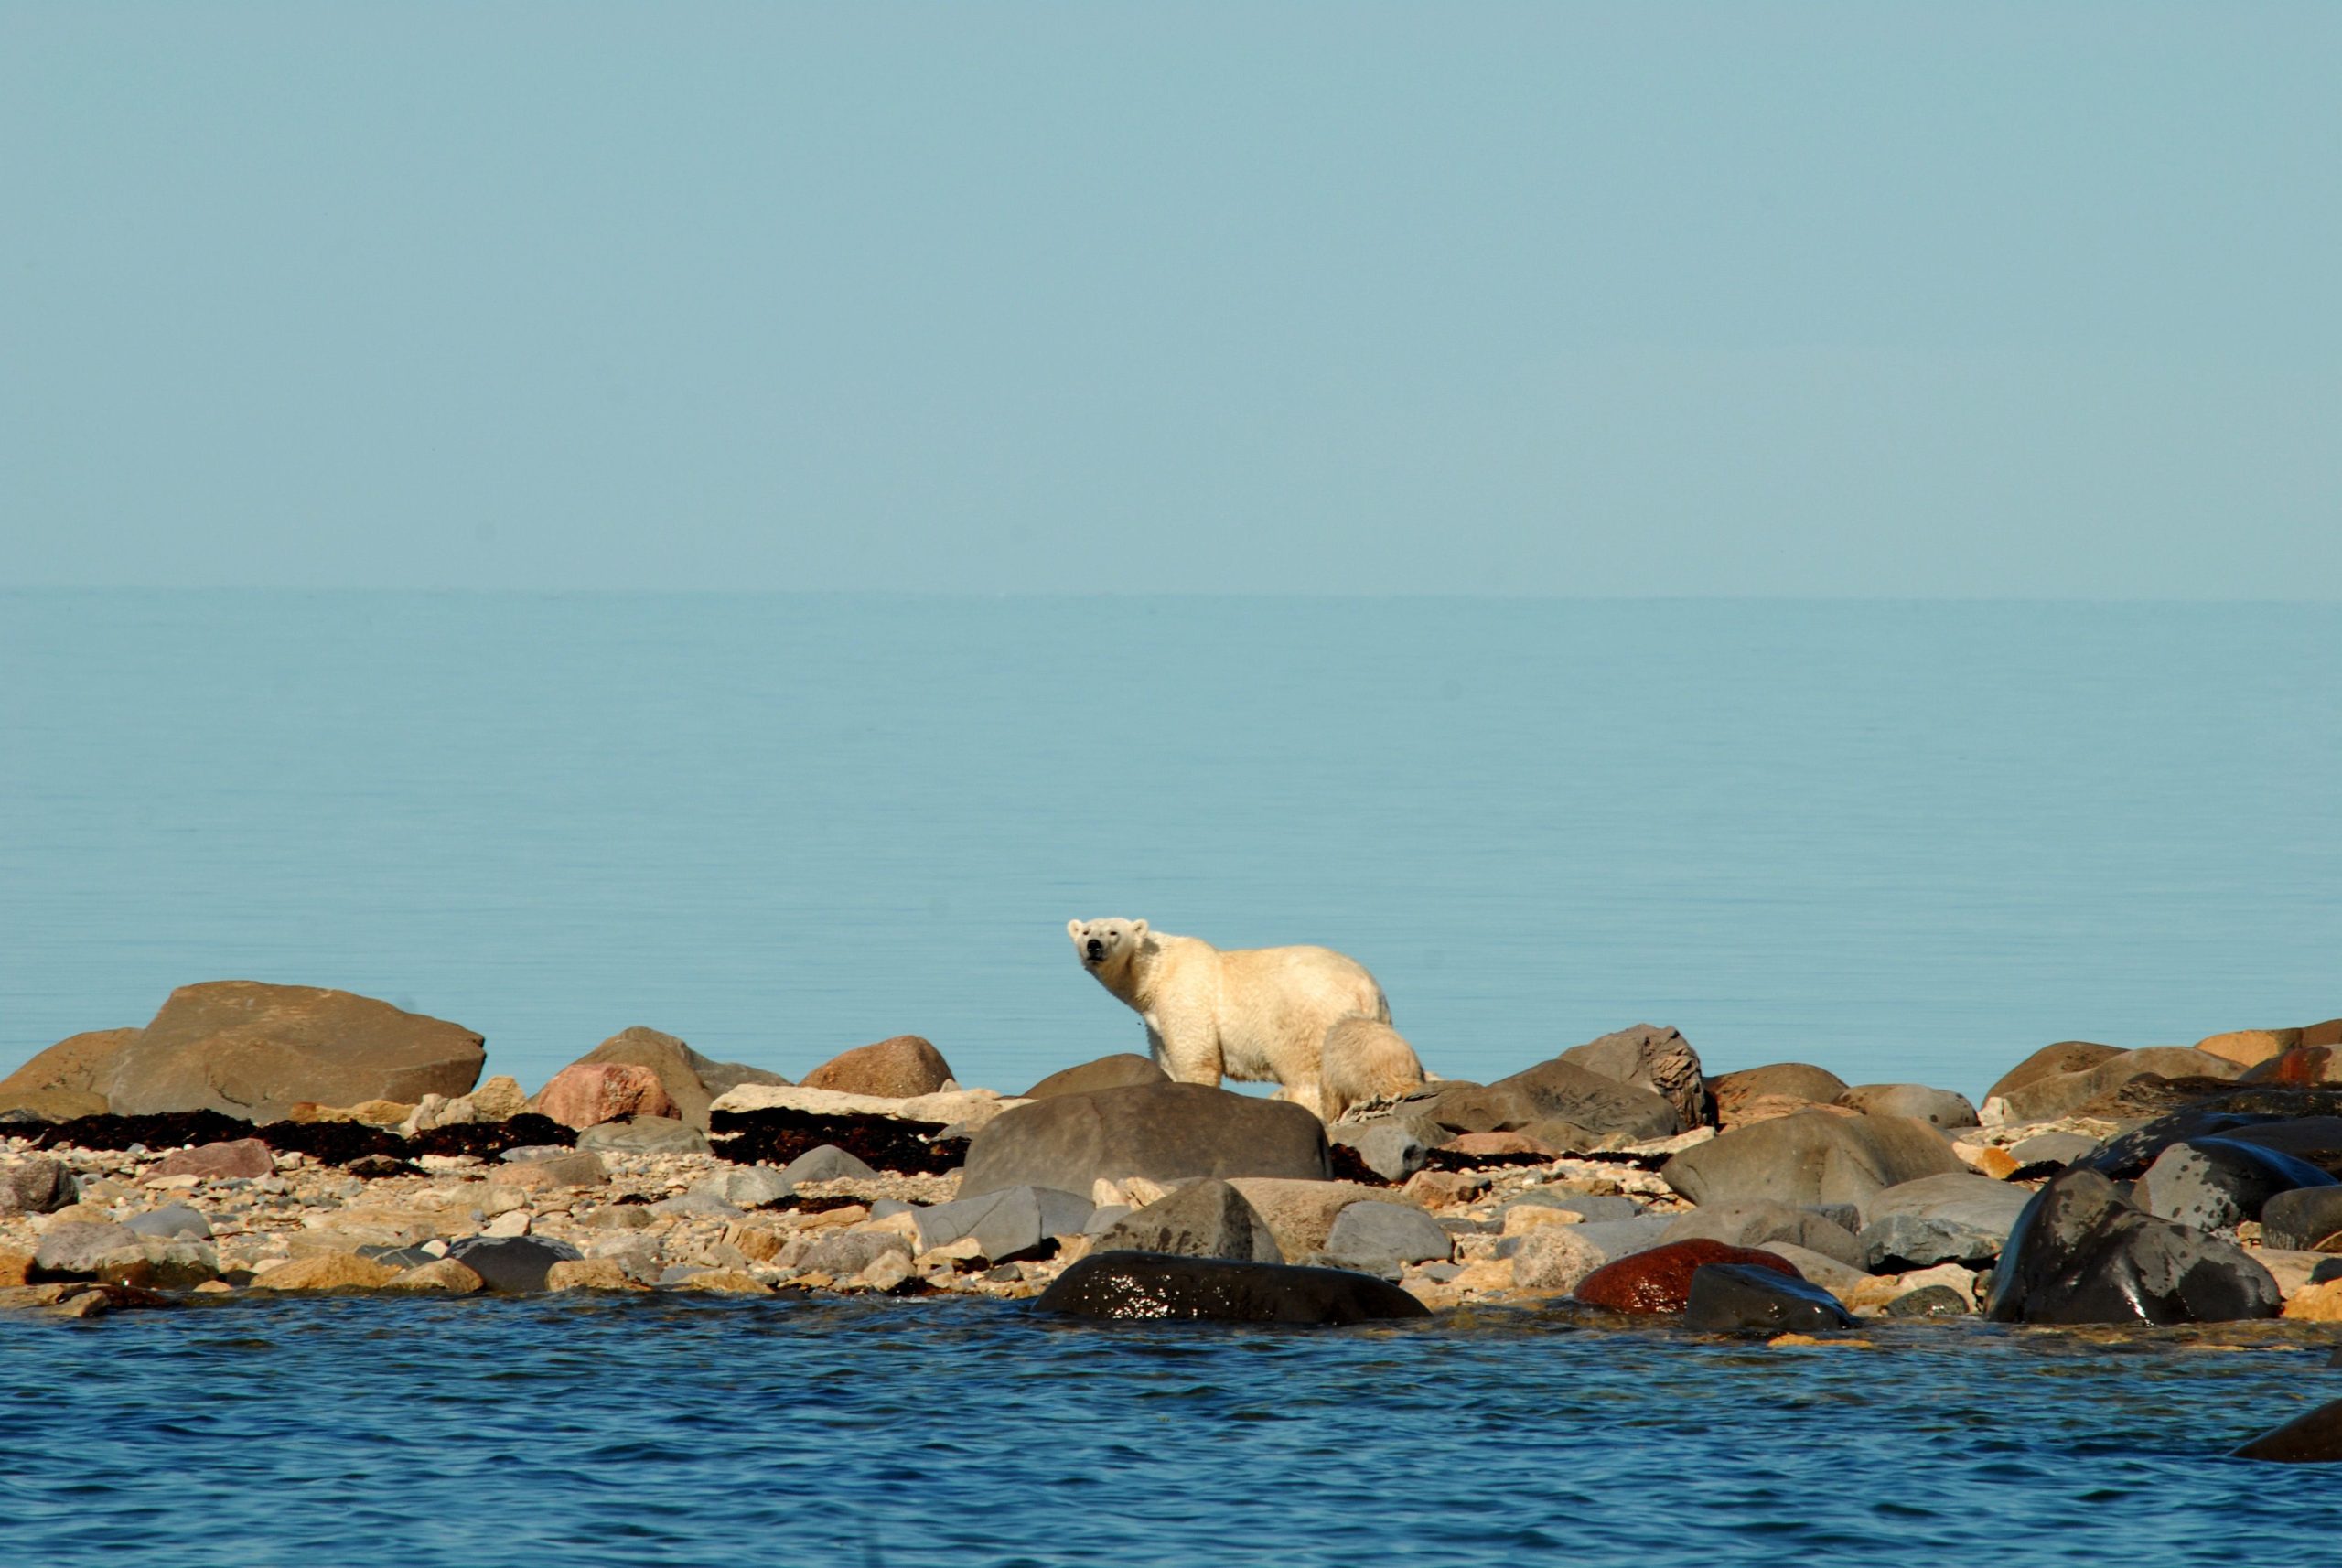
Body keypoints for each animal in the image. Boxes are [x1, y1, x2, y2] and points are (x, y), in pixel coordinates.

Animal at [1067, 917, 1389, 1120]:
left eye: (1113, 932)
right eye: (1086, 931)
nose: (1094, 945)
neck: (1155, 975)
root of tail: (1366, 989)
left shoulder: (1187, 997)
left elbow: (1196, 1058)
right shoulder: (1156, 1022)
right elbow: (1167, 1060)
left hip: (1305, 1015)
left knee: (1304, 1072)